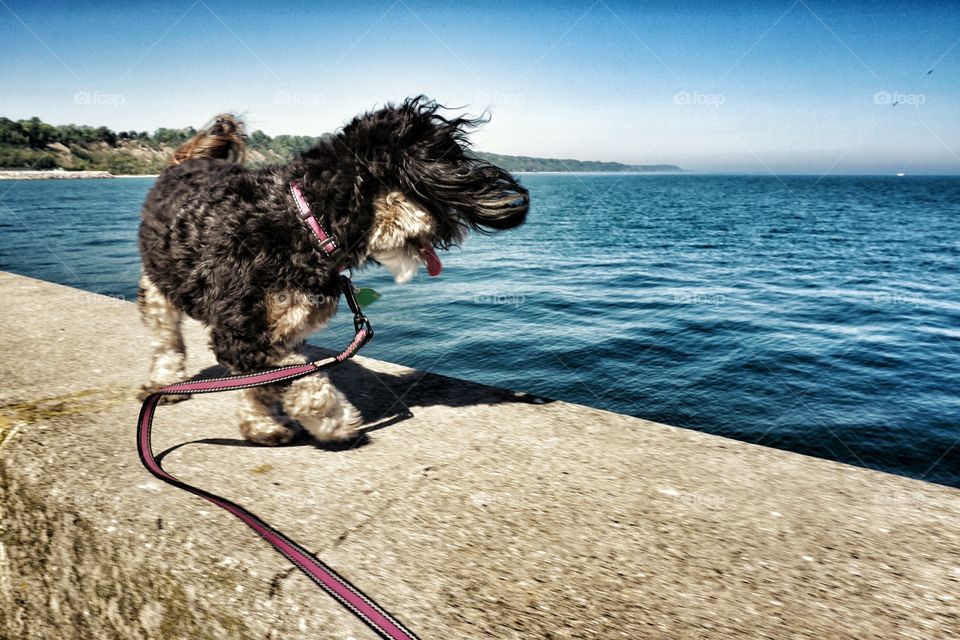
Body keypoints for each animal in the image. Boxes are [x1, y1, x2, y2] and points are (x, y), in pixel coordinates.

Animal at [139, 96, 528, 444]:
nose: (452, 232)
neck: (306, 220)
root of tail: (190, 161)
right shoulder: (240, 332)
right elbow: (298, 378)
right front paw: (335, 420)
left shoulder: (281, 330)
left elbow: (263, 384)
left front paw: (262, 426)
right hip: (158, 285)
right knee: (165, 339)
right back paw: (163, 383)